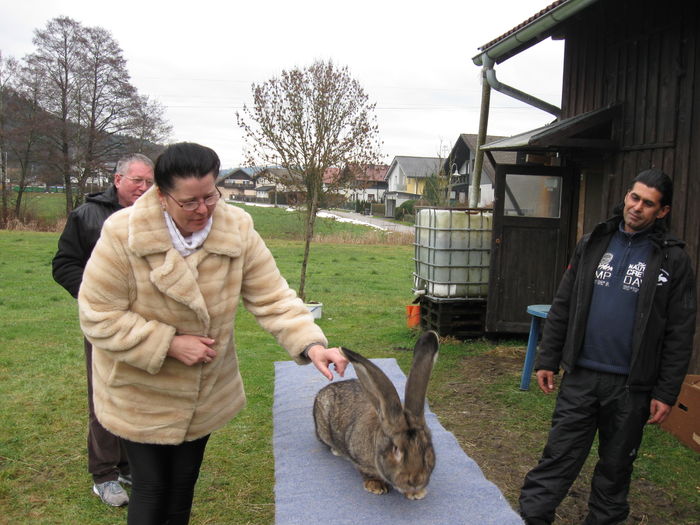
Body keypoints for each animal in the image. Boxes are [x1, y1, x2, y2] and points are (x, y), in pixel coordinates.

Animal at [312, 332, 438, 500]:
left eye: (427, 446)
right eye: (395, 449)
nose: (416, 480)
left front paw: (416, 493)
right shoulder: (360, 460)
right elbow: (367, 472)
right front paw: (376, 486)